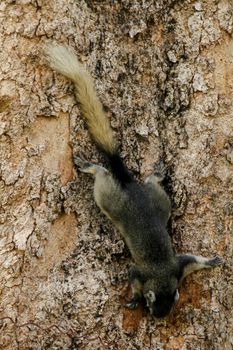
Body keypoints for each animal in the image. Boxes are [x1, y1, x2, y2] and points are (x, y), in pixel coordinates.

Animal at [44, 43, 222, 318]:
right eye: (152, 306)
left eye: (168, 306)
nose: (158, 318)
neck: (162, 275)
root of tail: (130, 186)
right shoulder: (142, 271)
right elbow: (135, 277)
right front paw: (135, 298)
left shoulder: (179, 266)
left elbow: (195, 261)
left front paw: (211, 261)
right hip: (111, 197)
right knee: (104, 175)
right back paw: (92, 167)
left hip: (153, 200)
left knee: (140, 182)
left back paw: (152, 174)